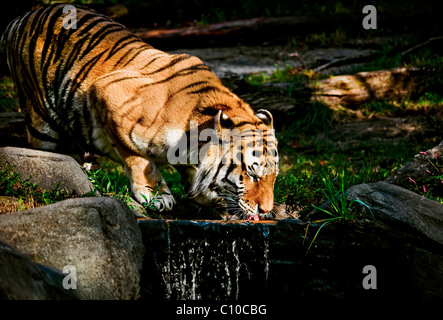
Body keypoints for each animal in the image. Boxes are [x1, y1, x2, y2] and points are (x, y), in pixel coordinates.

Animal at [1, 3, 280, 220]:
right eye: (252, 174)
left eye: (274, 177)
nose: (266, 211)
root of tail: (20, 18)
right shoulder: (108, 95)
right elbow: (139, 159)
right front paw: (156, 195)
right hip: (41, 122)